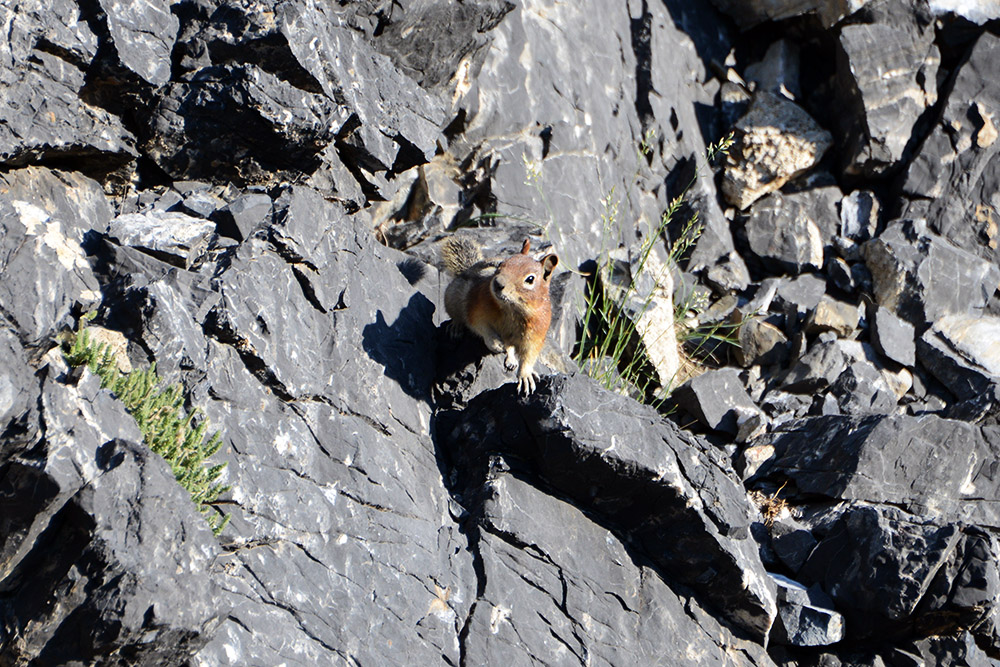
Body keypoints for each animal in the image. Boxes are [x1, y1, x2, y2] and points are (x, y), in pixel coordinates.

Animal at [442, 236, 559, 395]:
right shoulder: (475, 309)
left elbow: (529, 355)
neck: (512, 309)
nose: (497, 283)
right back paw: (456, 327)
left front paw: (526, 375)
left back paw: (511, 360)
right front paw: (495, 343)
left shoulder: (536, 333)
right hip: (452, 296)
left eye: (530, 279)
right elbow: (481, 327)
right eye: (502, 264)